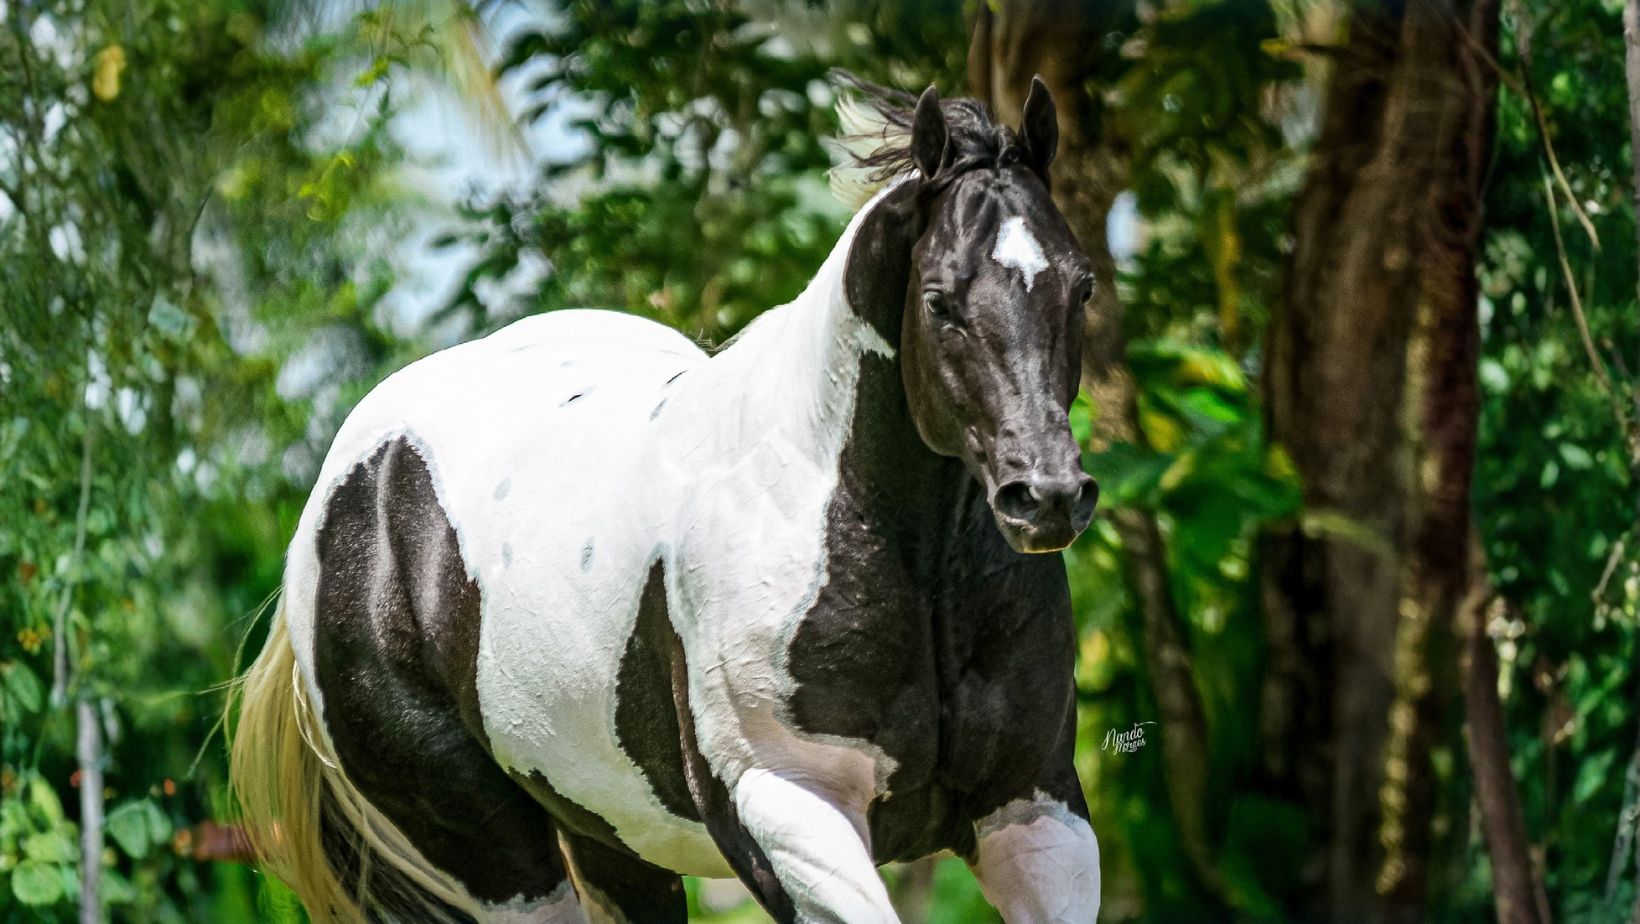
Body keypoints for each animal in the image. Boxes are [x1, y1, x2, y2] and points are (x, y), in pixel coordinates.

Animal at [232, 74, 1102, 924]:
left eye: (1083, 285)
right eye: (939, 301)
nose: (1047, 495)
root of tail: (348, 484)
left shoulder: (1036, 811)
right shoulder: (788, 813)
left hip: (614, 841)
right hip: (493, 858)